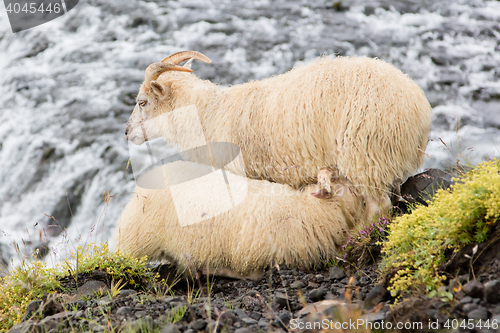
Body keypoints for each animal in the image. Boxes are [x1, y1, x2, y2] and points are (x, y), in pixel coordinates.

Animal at [124, 50, 430, 218]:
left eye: (142, 102)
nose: (127, 133)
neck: (207, 114)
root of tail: (418, 106)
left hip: (365, 155)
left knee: (379, 208)